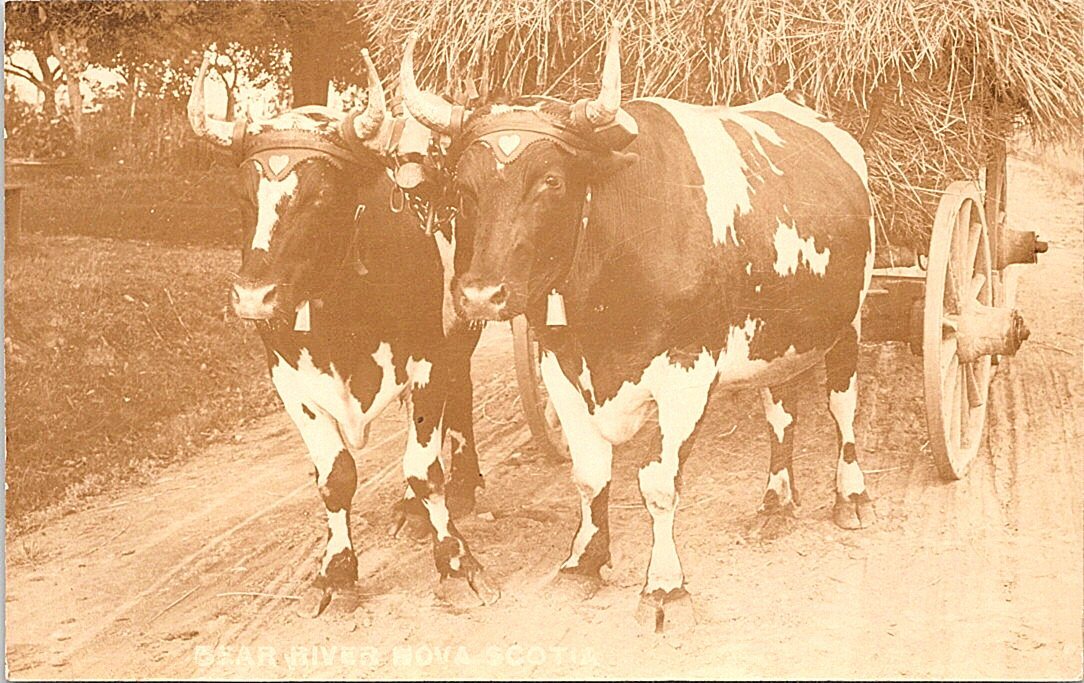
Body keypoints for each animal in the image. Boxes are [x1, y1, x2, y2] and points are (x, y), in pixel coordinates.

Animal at [186, 50, 499, 617]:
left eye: (320, 196)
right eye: (242, 195)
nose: (254, 297)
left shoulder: (428, 359)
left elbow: (424, 469)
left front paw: (456, 562)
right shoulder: (289, 381)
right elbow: (335, 479)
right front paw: (337, 573)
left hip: (463, 327)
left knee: (457, 399)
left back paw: (460, 486)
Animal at [401, 24, 877, 632]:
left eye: (551, 181)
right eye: (463, 187)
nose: (481, 296)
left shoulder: (688, 369)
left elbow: (658, 482)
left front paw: (665, 588)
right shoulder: (559, 363)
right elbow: (588, 472)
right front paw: (584, 560)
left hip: (849, 319)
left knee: (842, 405)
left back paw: (850, 498)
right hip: (778, 335)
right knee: (781, 411)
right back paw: (776, 504)